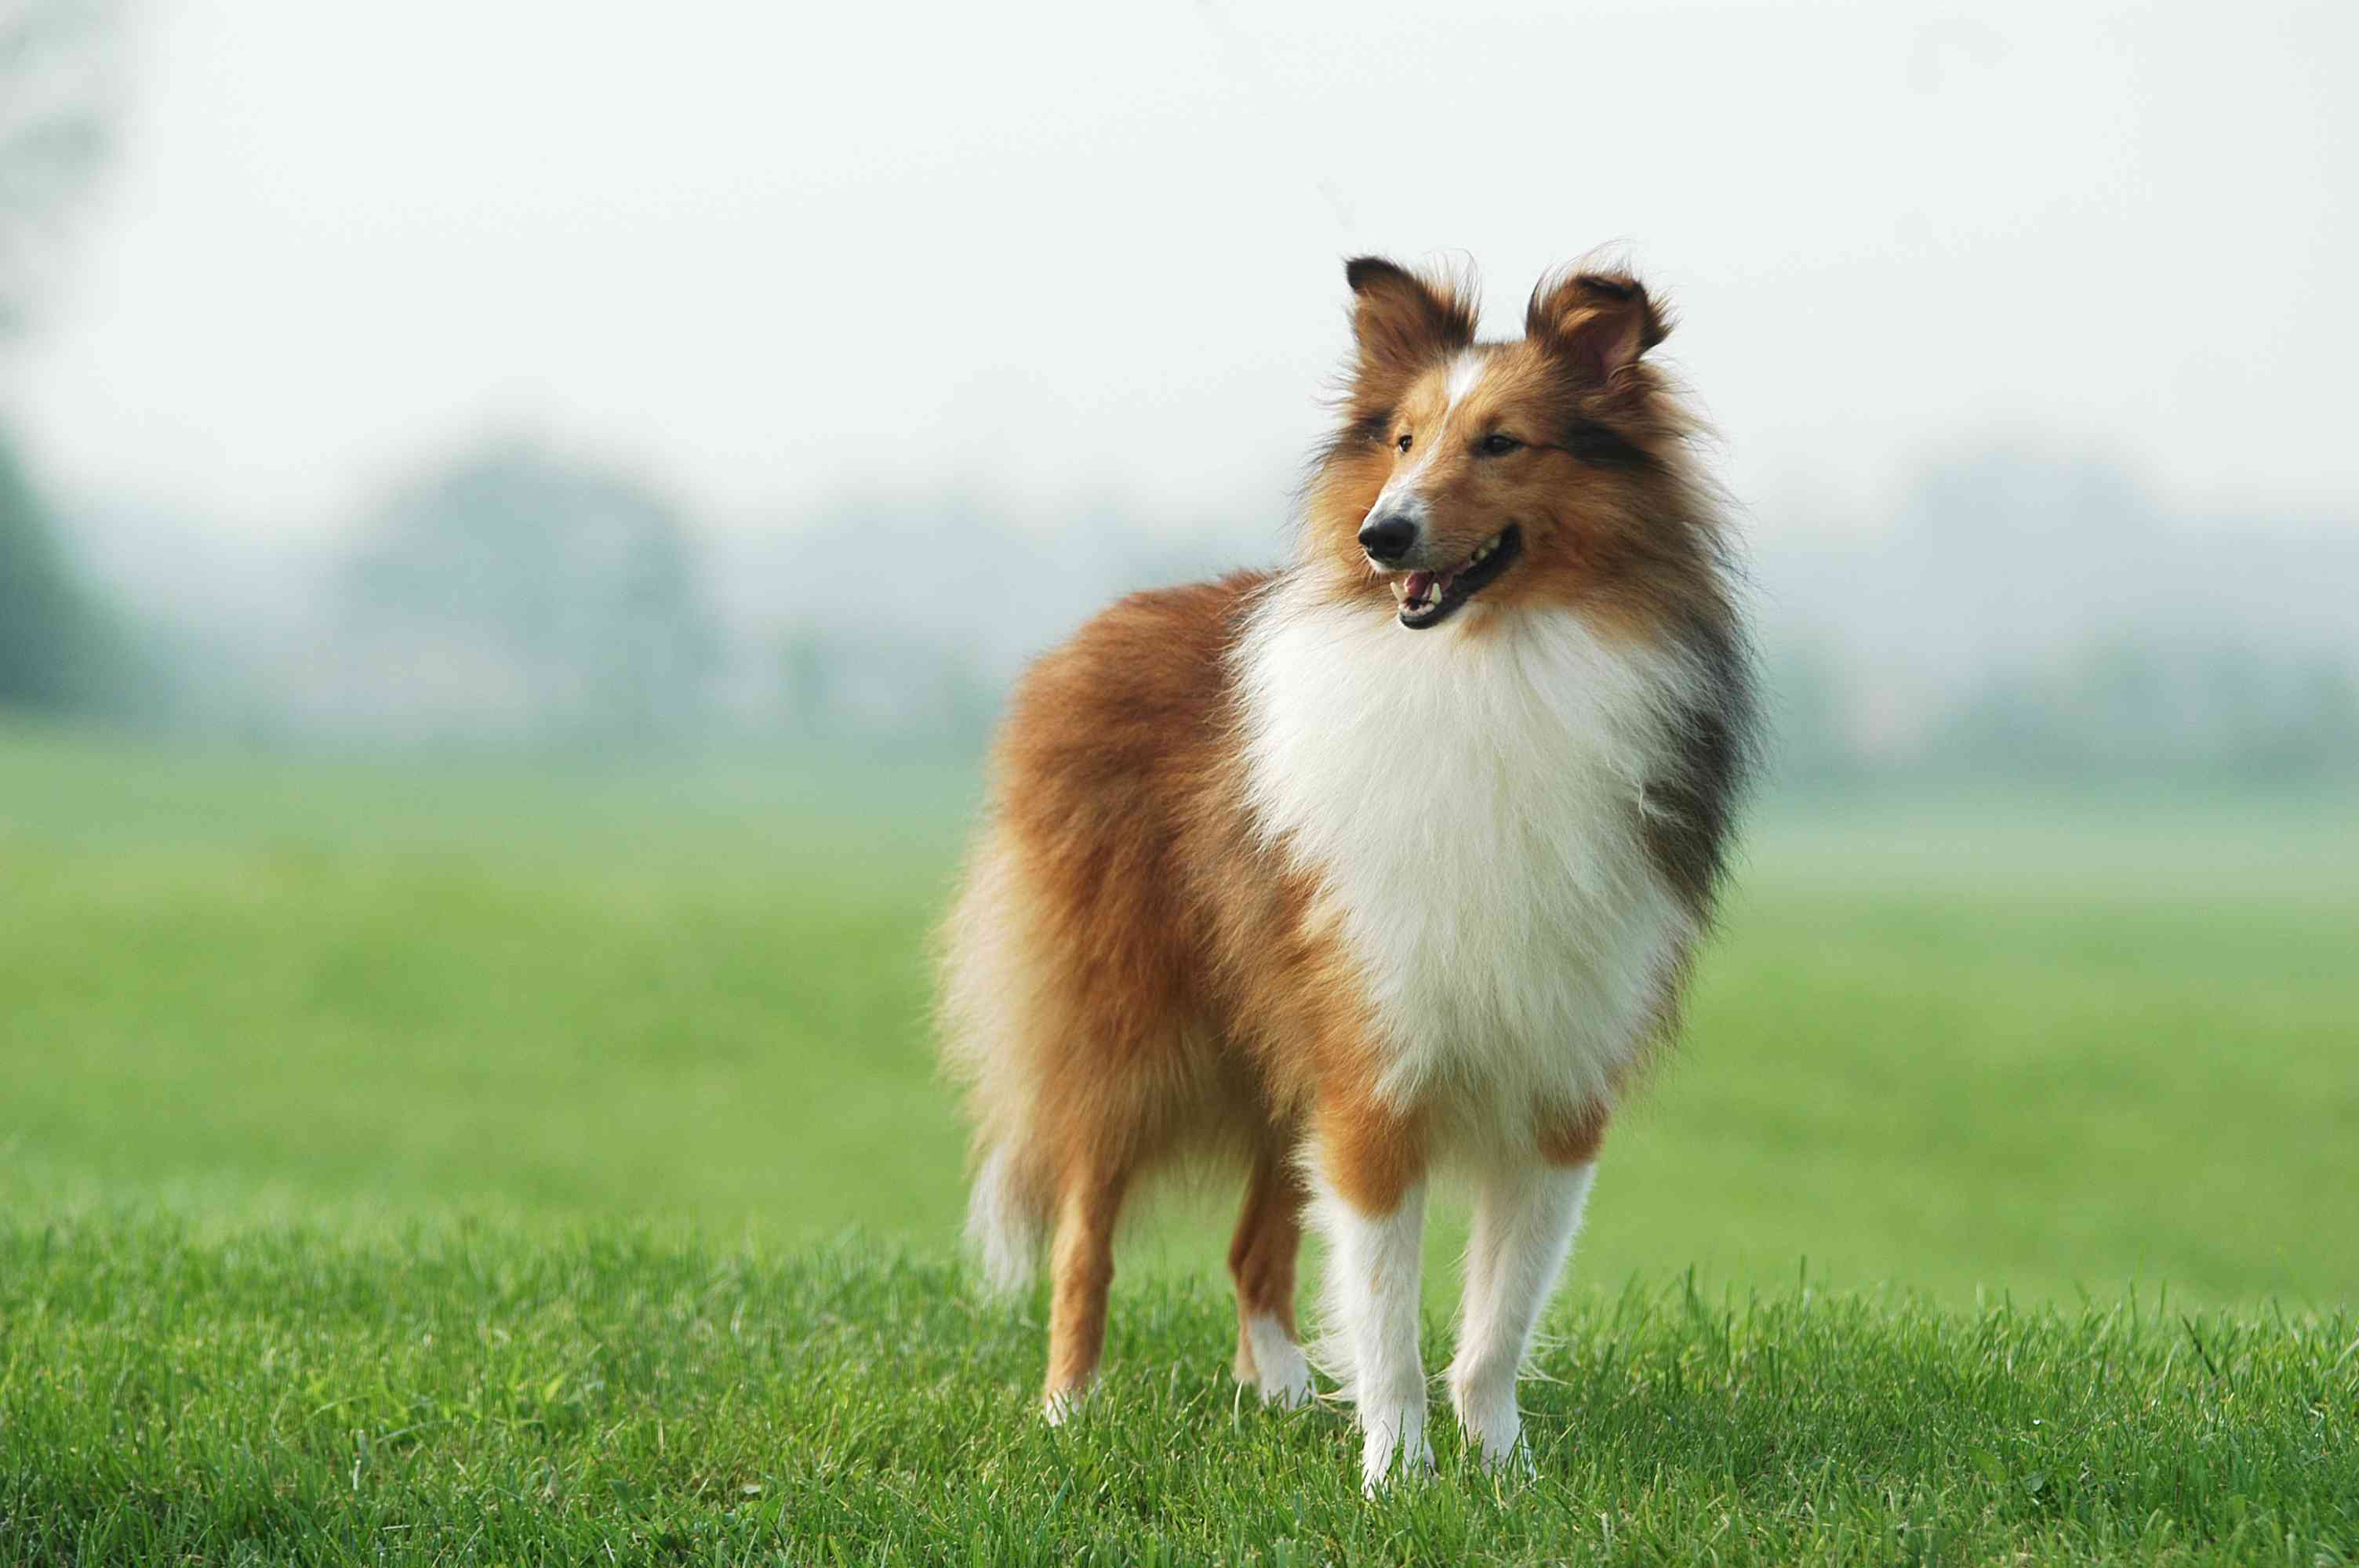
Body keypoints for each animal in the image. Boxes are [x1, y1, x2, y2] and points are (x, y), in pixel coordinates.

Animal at [934, 251, 1754, 1490]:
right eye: (1404, 439)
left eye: (1502, 442)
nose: (1382, 536)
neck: (1490, 667)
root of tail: (1095, 629)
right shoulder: (1374, 1062)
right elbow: (1385, 1307)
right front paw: (1397, 1477)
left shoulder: (1560, 1078)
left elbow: (1499, 1316)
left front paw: (1500, 1471)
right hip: (1128, 1031)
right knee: (1084, 1240)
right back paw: (1067, 1410)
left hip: (1277, 1033)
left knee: (1251, 1245)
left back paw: (1273, 1383)